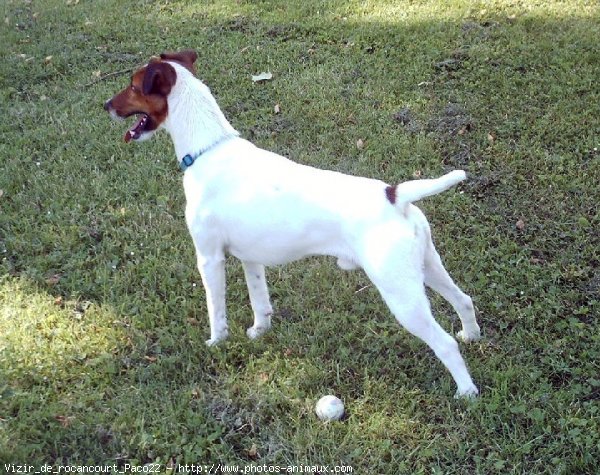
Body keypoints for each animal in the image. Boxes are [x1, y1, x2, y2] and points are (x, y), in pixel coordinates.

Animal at [105, 50, 482, 396]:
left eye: (133, 86)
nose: (106, 104)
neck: (207, 149)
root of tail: (395, 195)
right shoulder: (250, 259)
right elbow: (261, 303)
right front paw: (259, 332)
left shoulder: (210, 258)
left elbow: (217, 310)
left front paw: (216, 342)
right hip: (428, 267)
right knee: (464, 300)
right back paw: (471, 335)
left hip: (401, 295)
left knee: (444, 343)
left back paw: (466, 392)